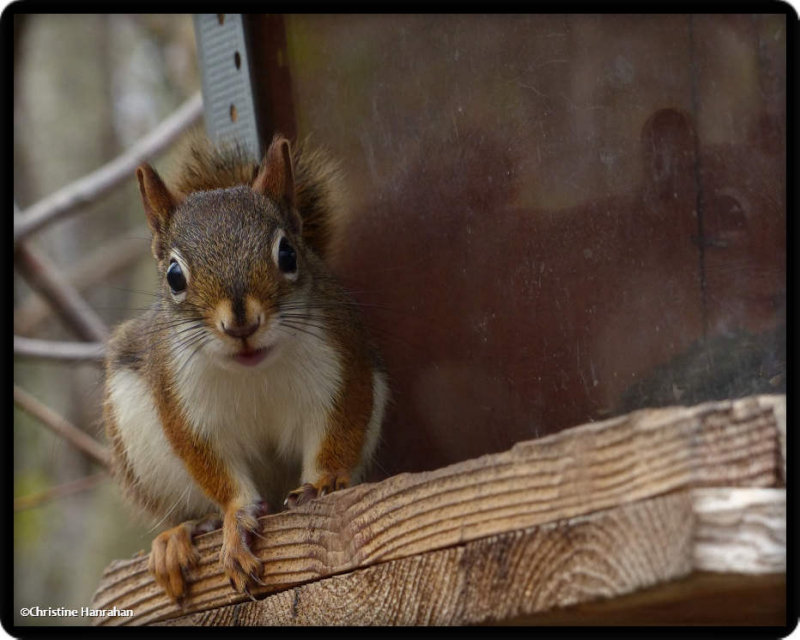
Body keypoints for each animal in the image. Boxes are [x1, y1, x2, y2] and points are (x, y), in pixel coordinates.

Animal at [101, 134, 390, 600]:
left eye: (288, 253)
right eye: (174, 276)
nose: (241, 324)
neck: (252, 369)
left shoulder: (344, 367)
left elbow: (337, 433)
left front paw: (324, 482)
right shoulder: (184, 406)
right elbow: (217, 473)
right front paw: (236, 523)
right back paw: (180, 536)